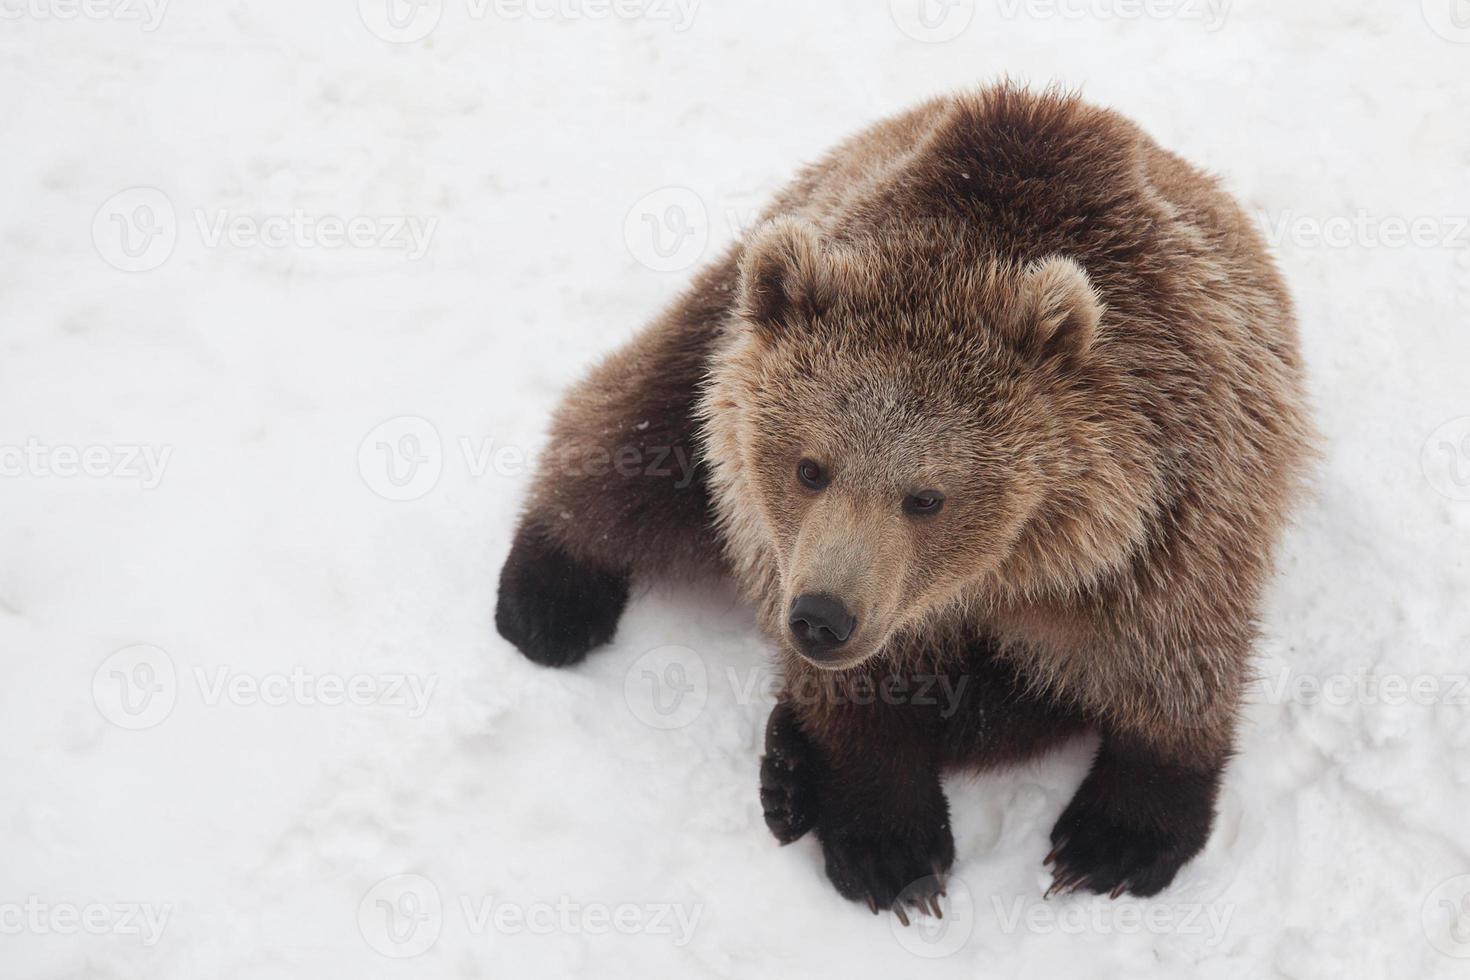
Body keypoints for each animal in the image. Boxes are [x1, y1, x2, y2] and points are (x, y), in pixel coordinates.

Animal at [496, 82, 1323, 922]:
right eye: (810, 468)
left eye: (926, 496)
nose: (822, 617)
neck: (1005, 568)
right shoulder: (780, 531)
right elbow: (868, 702)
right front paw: (886, 845)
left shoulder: (1167, 519)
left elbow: (1169, 660)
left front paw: (1112, 841)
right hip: (727, 330)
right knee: (637, 428)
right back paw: (548, 602)